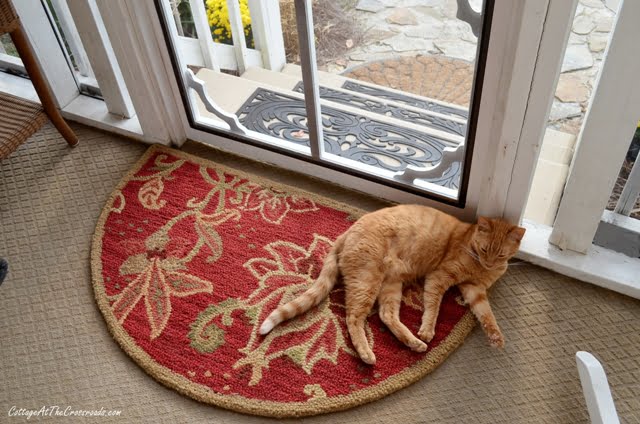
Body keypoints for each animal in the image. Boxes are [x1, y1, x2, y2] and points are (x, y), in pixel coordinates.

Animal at [260, 205, 524, 364]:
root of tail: (346, 233)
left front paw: (497, 337)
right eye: (485, 249)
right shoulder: (439, 277)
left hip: (391, 284)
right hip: (367, 281)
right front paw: (428, 330)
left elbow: (487, 315)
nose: (489, 263)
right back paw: (368, 353)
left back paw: (413, 342)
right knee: (353, 318)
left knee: (386, 315)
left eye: (501, 255)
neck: (478, 266)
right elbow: (433, 307)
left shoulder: (474, 290)